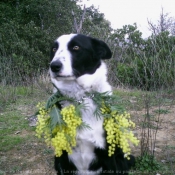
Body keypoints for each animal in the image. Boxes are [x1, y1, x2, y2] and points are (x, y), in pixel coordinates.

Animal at [49, 33, 135, 174]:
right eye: (54, 49)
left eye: (76, 47)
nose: (54, 66)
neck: (80, 97)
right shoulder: (62, 154)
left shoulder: (108, 155)